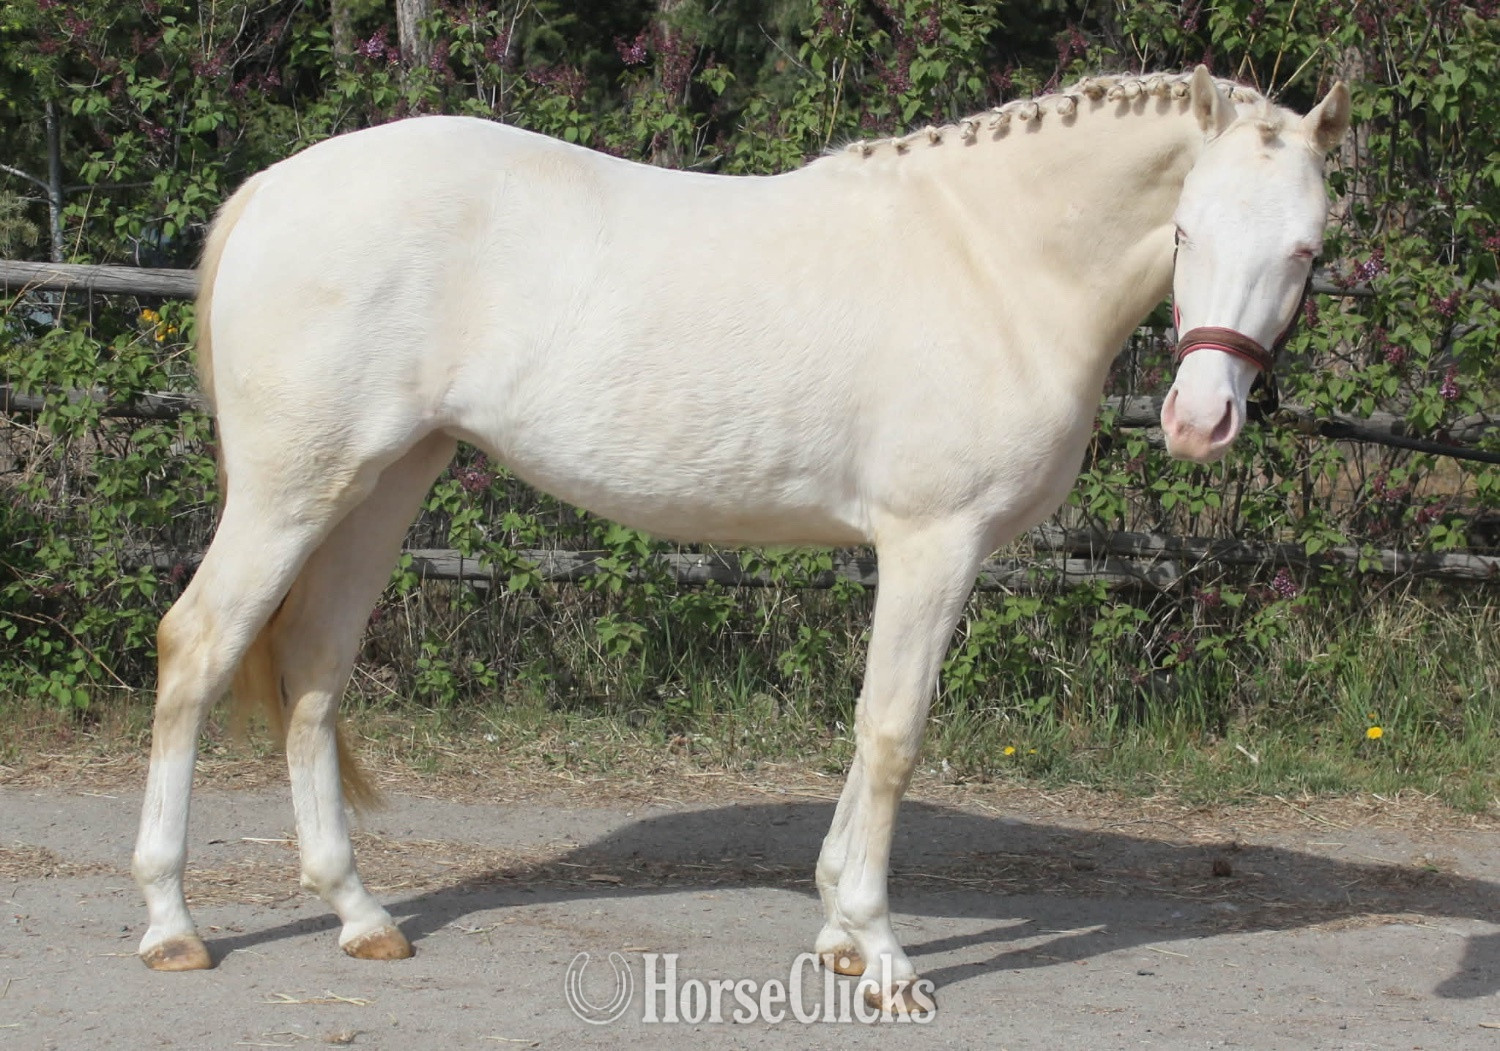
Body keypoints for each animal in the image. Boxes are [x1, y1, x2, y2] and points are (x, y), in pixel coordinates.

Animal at [131, 66, 1349, 1014]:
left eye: (1307, 251)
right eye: (1187, 227)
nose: (1201, 420)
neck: (992, 261)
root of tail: (274, 188)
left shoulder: (909, 553)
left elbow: (866, 730)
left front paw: (841, 933)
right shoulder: (933, 544)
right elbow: (895, 732)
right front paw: (884, 954)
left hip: (384, 483)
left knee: (314, 671)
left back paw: (360, 913)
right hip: (293, 490)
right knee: (196, 646)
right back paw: (171, 924)